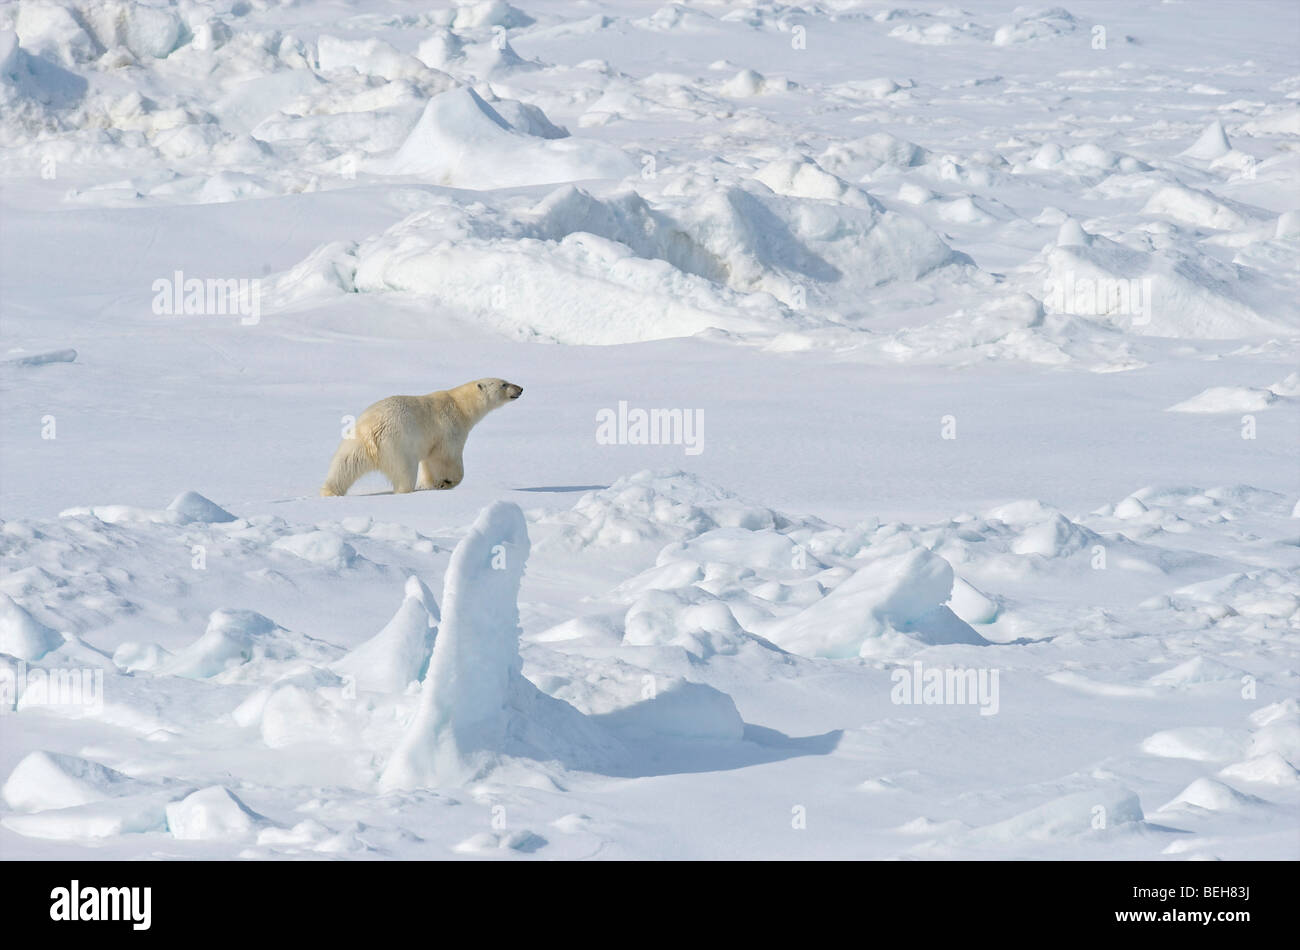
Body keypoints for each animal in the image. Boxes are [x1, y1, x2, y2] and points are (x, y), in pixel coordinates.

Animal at [321, 376, 522, 501]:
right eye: (504, 384)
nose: (520, 388)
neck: (460, 405)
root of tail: (371, 432)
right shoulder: (449, 428)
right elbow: (446, 458)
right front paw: (445, 482)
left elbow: (429, 462)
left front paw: (430, 484)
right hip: (397, 446)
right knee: (404, 472)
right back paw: (407, 490)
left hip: (353, 441)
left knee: (343, 467)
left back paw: (329, 491)